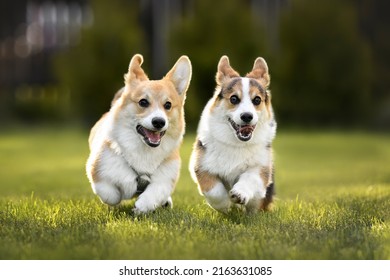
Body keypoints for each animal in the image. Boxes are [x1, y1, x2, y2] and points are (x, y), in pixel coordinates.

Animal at [87, 53, 193, 213]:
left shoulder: (165, 179)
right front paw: (119, 198)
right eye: (143, 102)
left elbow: (155, 192)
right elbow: (110, 194)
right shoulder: (98, 169)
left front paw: (142, 206)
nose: (159, 122)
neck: (144, 150)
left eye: (168, 105)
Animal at [190, 55, 276, 213]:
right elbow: (214, 191)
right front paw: (226, 205)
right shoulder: (203, 166)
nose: (247, 116)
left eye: (257, 100)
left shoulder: (261, 168)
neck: (236, 143)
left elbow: (250, 179)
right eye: (234, 98)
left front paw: (239, 194)